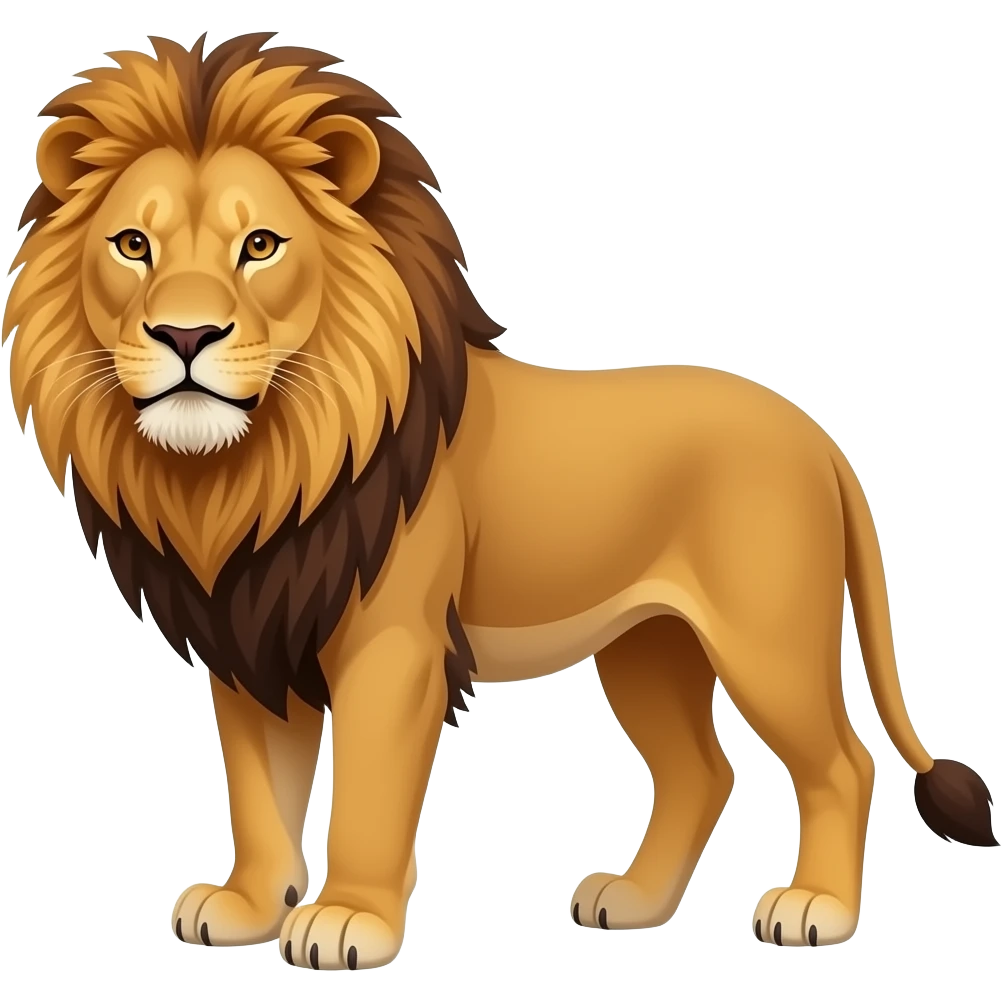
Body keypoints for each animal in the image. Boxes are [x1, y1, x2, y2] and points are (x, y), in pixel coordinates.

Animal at [4, 31, 997, 970]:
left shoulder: (393, 646)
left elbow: (366, 794)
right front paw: (249, 906)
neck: (251, 469)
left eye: (261, 246)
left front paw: (348, 921)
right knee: (702, 772)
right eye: (133, 246)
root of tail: (819, 438)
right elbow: (257, 792)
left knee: (843, 764)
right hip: (648, 645)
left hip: (768, 640)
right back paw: (633, 901)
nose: (185, 334)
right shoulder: (253, 636)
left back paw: (815, 909)